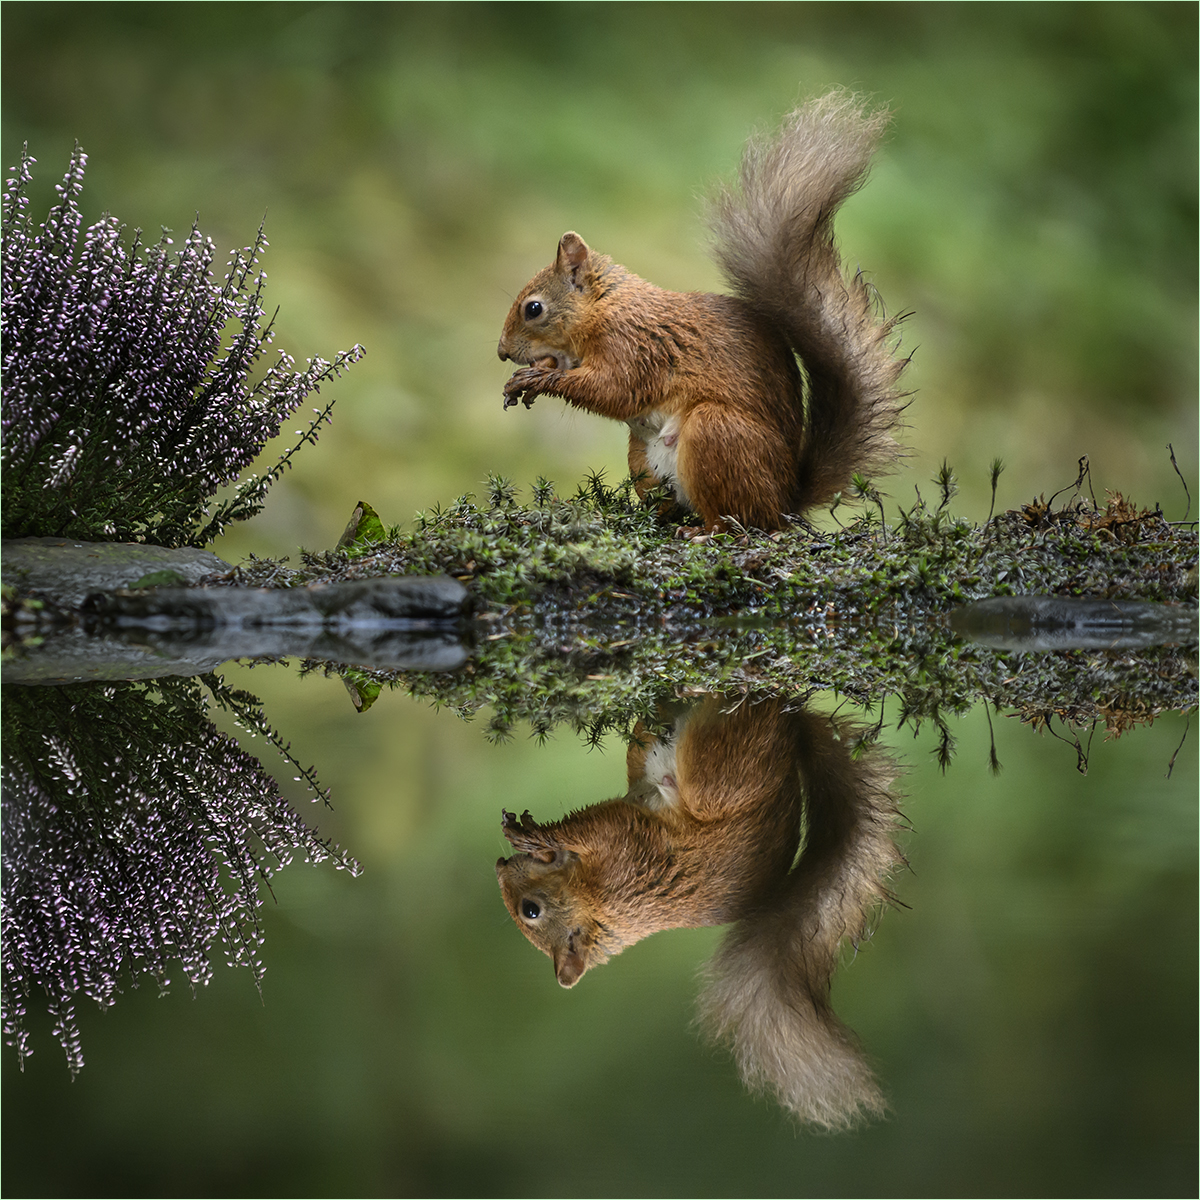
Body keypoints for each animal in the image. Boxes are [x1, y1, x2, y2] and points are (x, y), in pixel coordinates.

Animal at [494, 696, 902, 1123]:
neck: (600, 907)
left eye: (530, 910)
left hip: (709, 774)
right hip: (718, 766)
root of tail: (792, 741)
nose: (499, 866)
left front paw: (534, 836)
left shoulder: (621, 850)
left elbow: (589, 827)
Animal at [499, 96, 907, 537]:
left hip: (716, 434)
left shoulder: (633, 345)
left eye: (533, 309)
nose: (502, 351)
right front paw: (524, 379)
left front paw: (537, 379)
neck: (606, 306)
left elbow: (614, 390)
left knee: (741, 521)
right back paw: (655, 516)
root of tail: (785, 502)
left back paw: (704, 532)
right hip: (643, 459)